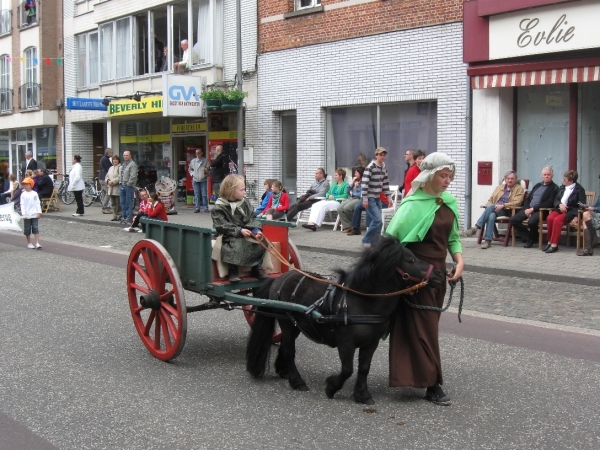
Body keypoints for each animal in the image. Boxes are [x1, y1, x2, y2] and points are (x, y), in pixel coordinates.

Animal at [245, 237, 446, 406]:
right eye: (411, 260)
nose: (439, 274)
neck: (363, 301)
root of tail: (279, 278)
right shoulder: (346, 343)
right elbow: (348, 369)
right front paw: (331, 386)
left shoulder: (371, 343)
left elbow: (364, 368)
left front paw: (362, 394)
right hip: (287, 323)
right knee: (289, 350)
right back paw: (297, 381)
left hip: (295, 325)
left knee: (286, 347)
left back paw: (284, 371)